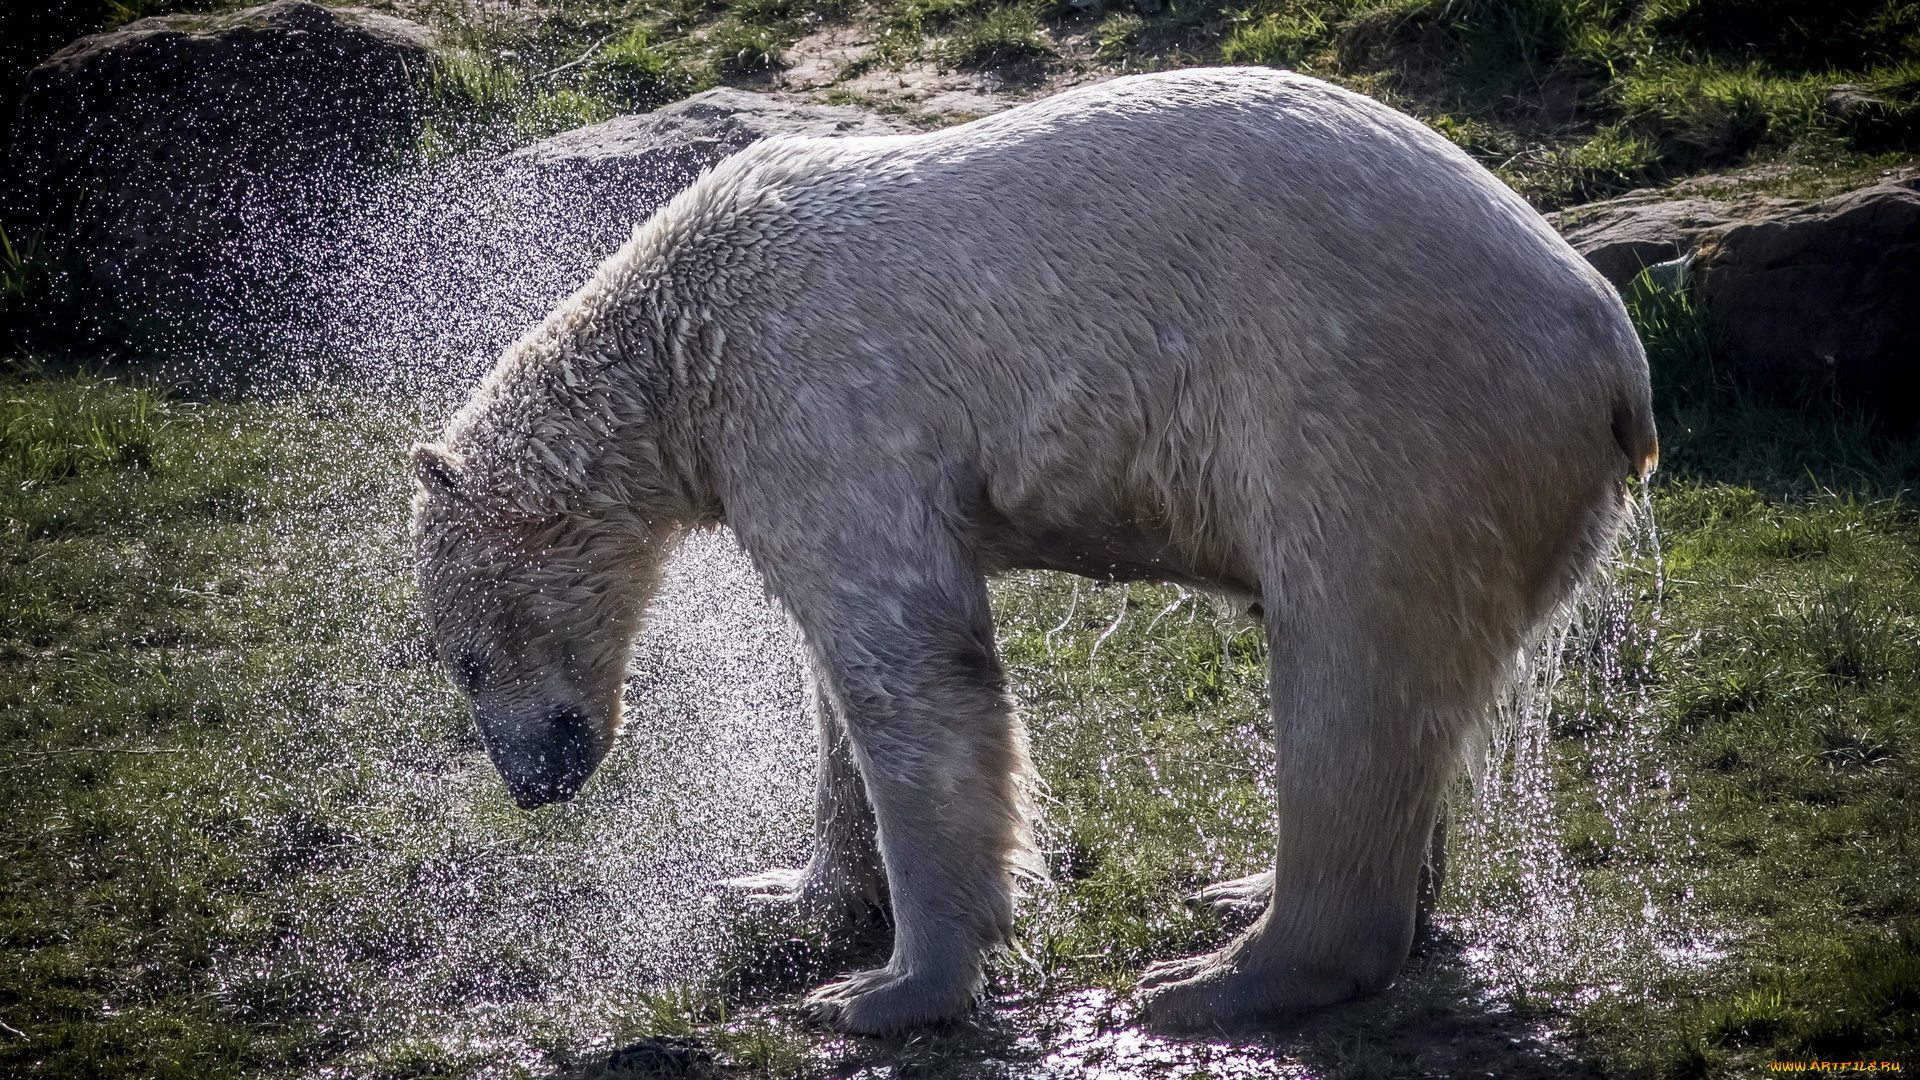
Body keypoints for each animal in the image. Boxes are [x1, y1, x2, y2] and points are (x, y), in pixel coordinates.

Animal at [412, 69, 1658, 1037]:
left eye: (462, 657)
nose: (532, 784)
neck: (680, 332)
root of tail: (1612, 353)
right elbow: (838, 689)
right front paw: (787, 895)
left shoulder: (818, 398)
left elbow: (908, 661)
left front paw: (887, 990)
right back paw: (1242, 896)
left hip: (1388, 420)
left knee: (1353, 669)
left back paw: (1222, 971)